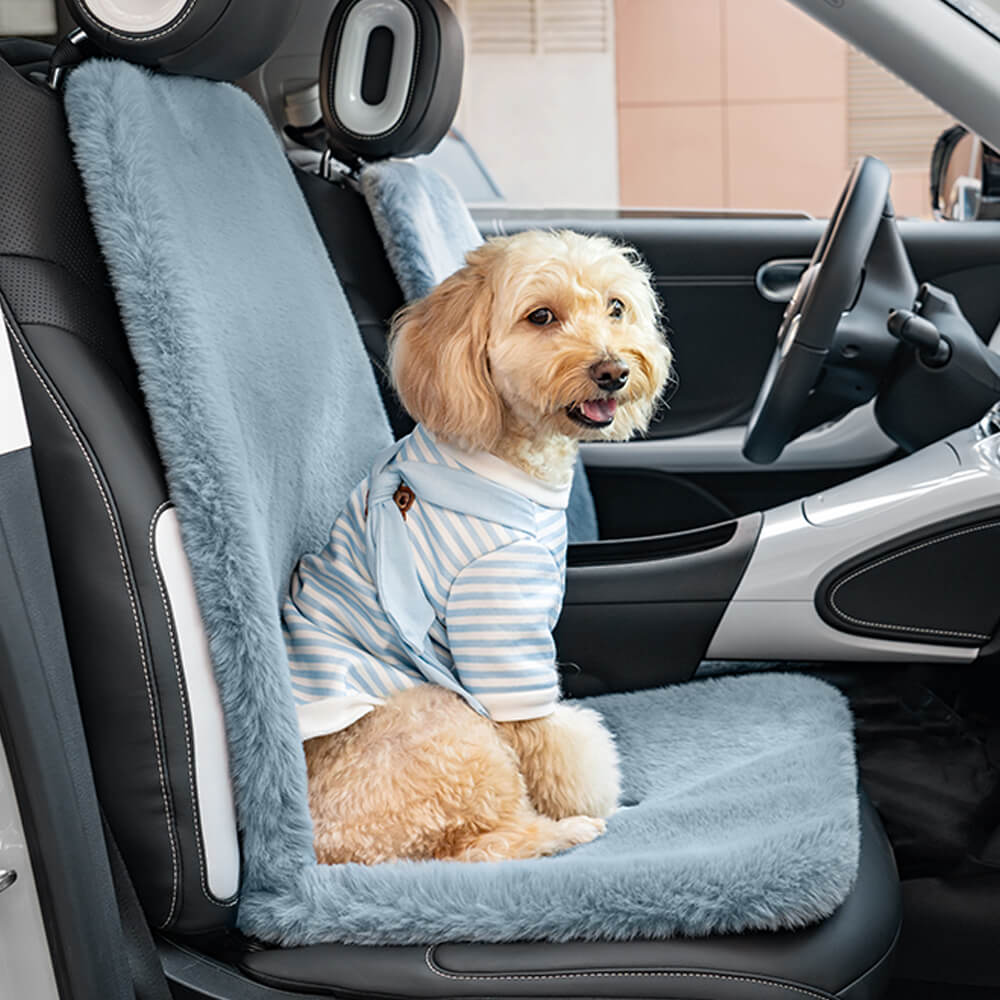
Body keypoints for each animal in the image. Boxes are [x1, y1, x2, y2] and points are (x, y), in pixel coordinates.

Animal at [282, 230, 672, 864]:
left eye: (616, 307)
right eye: (541, 317)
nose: (613, 370)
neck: (506, 459)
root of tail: (326, 851)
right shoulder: (498, 632)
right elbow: (554, 740)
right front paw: (588, 801)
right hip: (443, 723)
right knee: (484, 845)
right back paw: (564, 833)